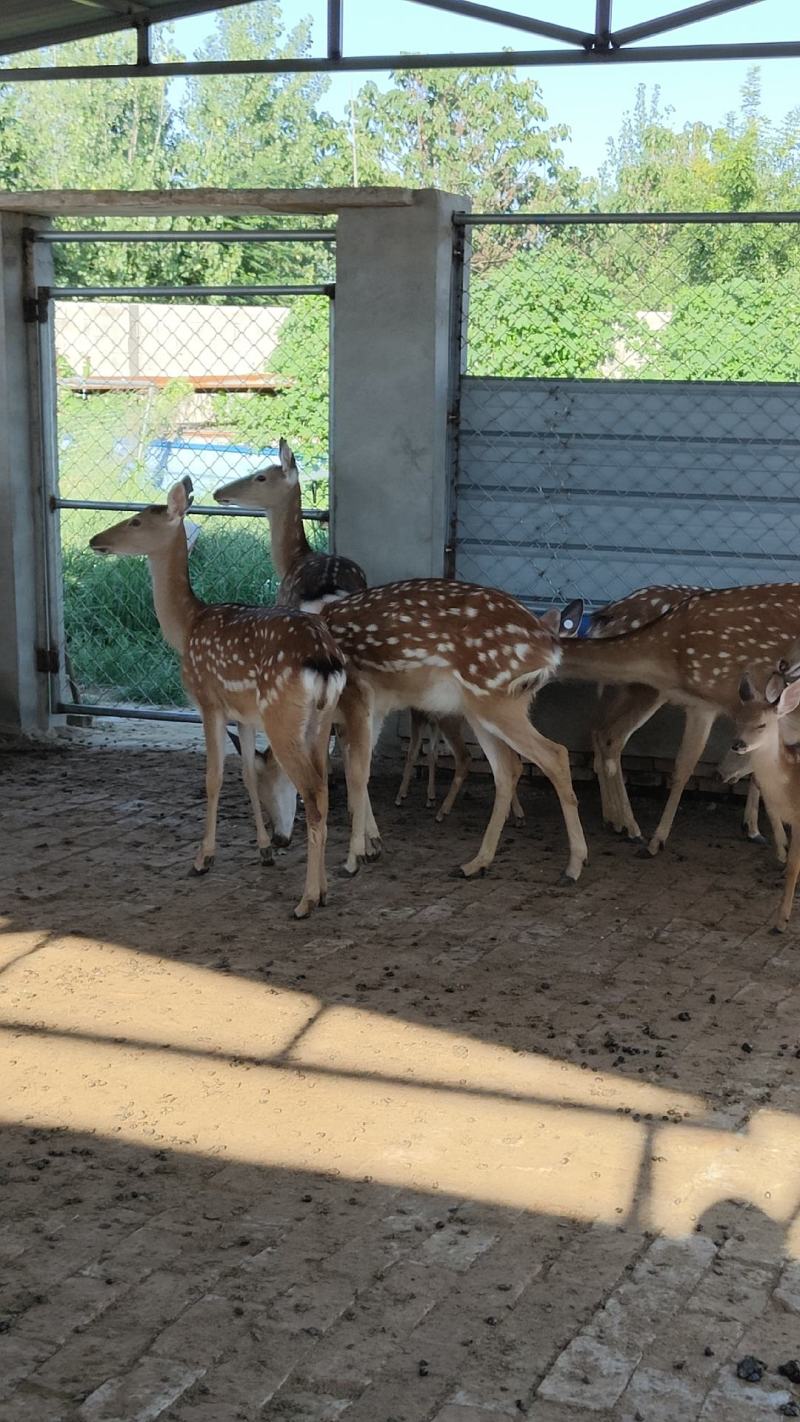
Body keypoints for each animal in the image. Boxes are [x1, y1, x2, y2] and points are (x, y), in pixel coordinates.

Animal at [88, 476, 346, 919]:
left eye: (136, 520)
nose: (94, 540)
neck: (188, 626)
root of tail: (326, 660)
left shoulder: (207, 702)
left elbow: (213, 777)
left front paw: (203, 858)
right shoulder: (243, 713)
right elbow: (246, 774)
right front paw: (263, 850)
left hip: (283, 717)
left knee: (312, 795)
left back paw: (306, 901)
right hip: (320, 719)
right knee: (324, 793)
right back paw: (324, 891)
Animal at [316, 581, 588, 884]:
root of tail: (548, 643)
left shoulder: (357, 697)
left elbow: (356, 775)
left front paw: (354, 859)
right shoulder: (370, 710)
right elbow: (360, 772)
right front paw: (373, 844)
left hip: (494, 700)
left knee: (555, 754)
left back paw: (573, 867)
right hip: (484, 707)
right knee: (508, 769)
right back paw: (477, 863)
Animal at [558, 582, 800, 859]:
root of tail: (610, 612)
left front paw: (762, 833)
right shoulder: (710, 704)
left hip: (639, 689)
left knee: (603, 733)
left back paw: (620, 823)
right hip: (643, 689)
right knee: (610, 735)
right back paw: (628, 827)